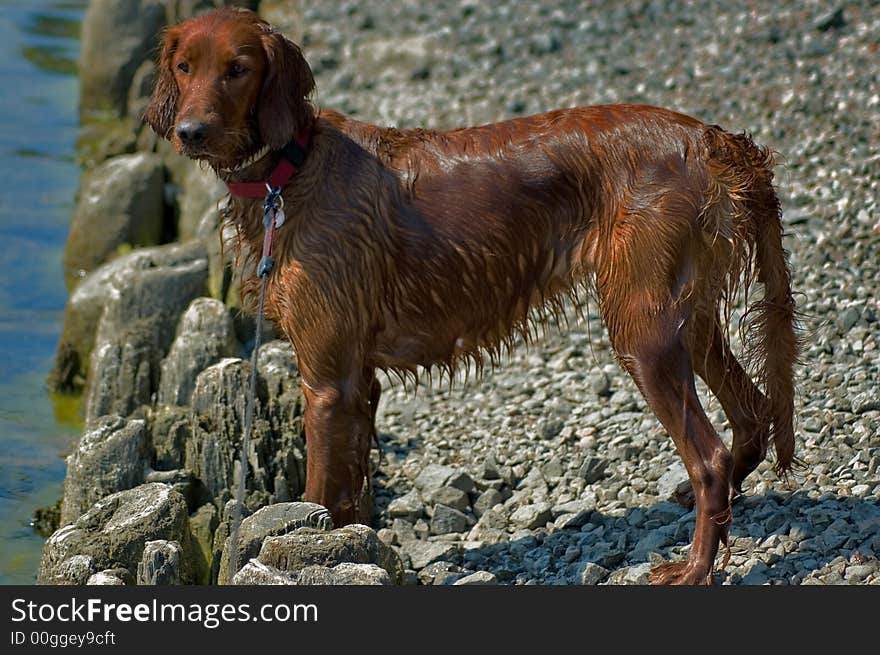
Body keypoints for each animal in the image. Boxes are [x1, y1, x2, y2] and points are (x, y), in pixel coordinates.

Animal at [146, 7, 796, 588]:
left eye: (238, 69)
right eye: (184, 66)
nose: (190, 132)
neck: (292, 168)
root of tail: (711, 140)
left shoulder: (327, 384)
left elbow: (318, 497)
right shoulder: (359, 383)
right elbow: (350, 501)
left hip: (645, 332)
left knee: (710, 456)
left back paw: (693, 569)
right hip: (687, 320)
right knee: (753, 413)